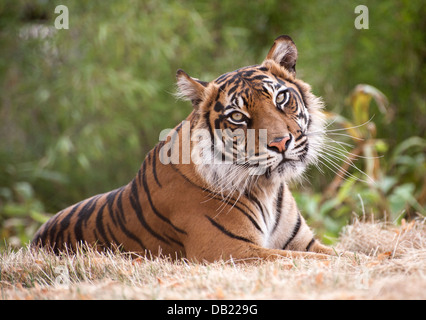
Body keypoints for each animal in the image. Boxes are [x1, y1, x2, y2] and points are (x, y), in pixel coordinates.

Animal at [32, 35, 346, 262]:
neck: (266, 187)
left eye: (281, 98)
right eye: (237, 117)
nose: (280, 143)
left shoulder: (305, 243)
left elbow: (346, 254)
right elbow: (328, 261)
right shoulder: (229, 250)